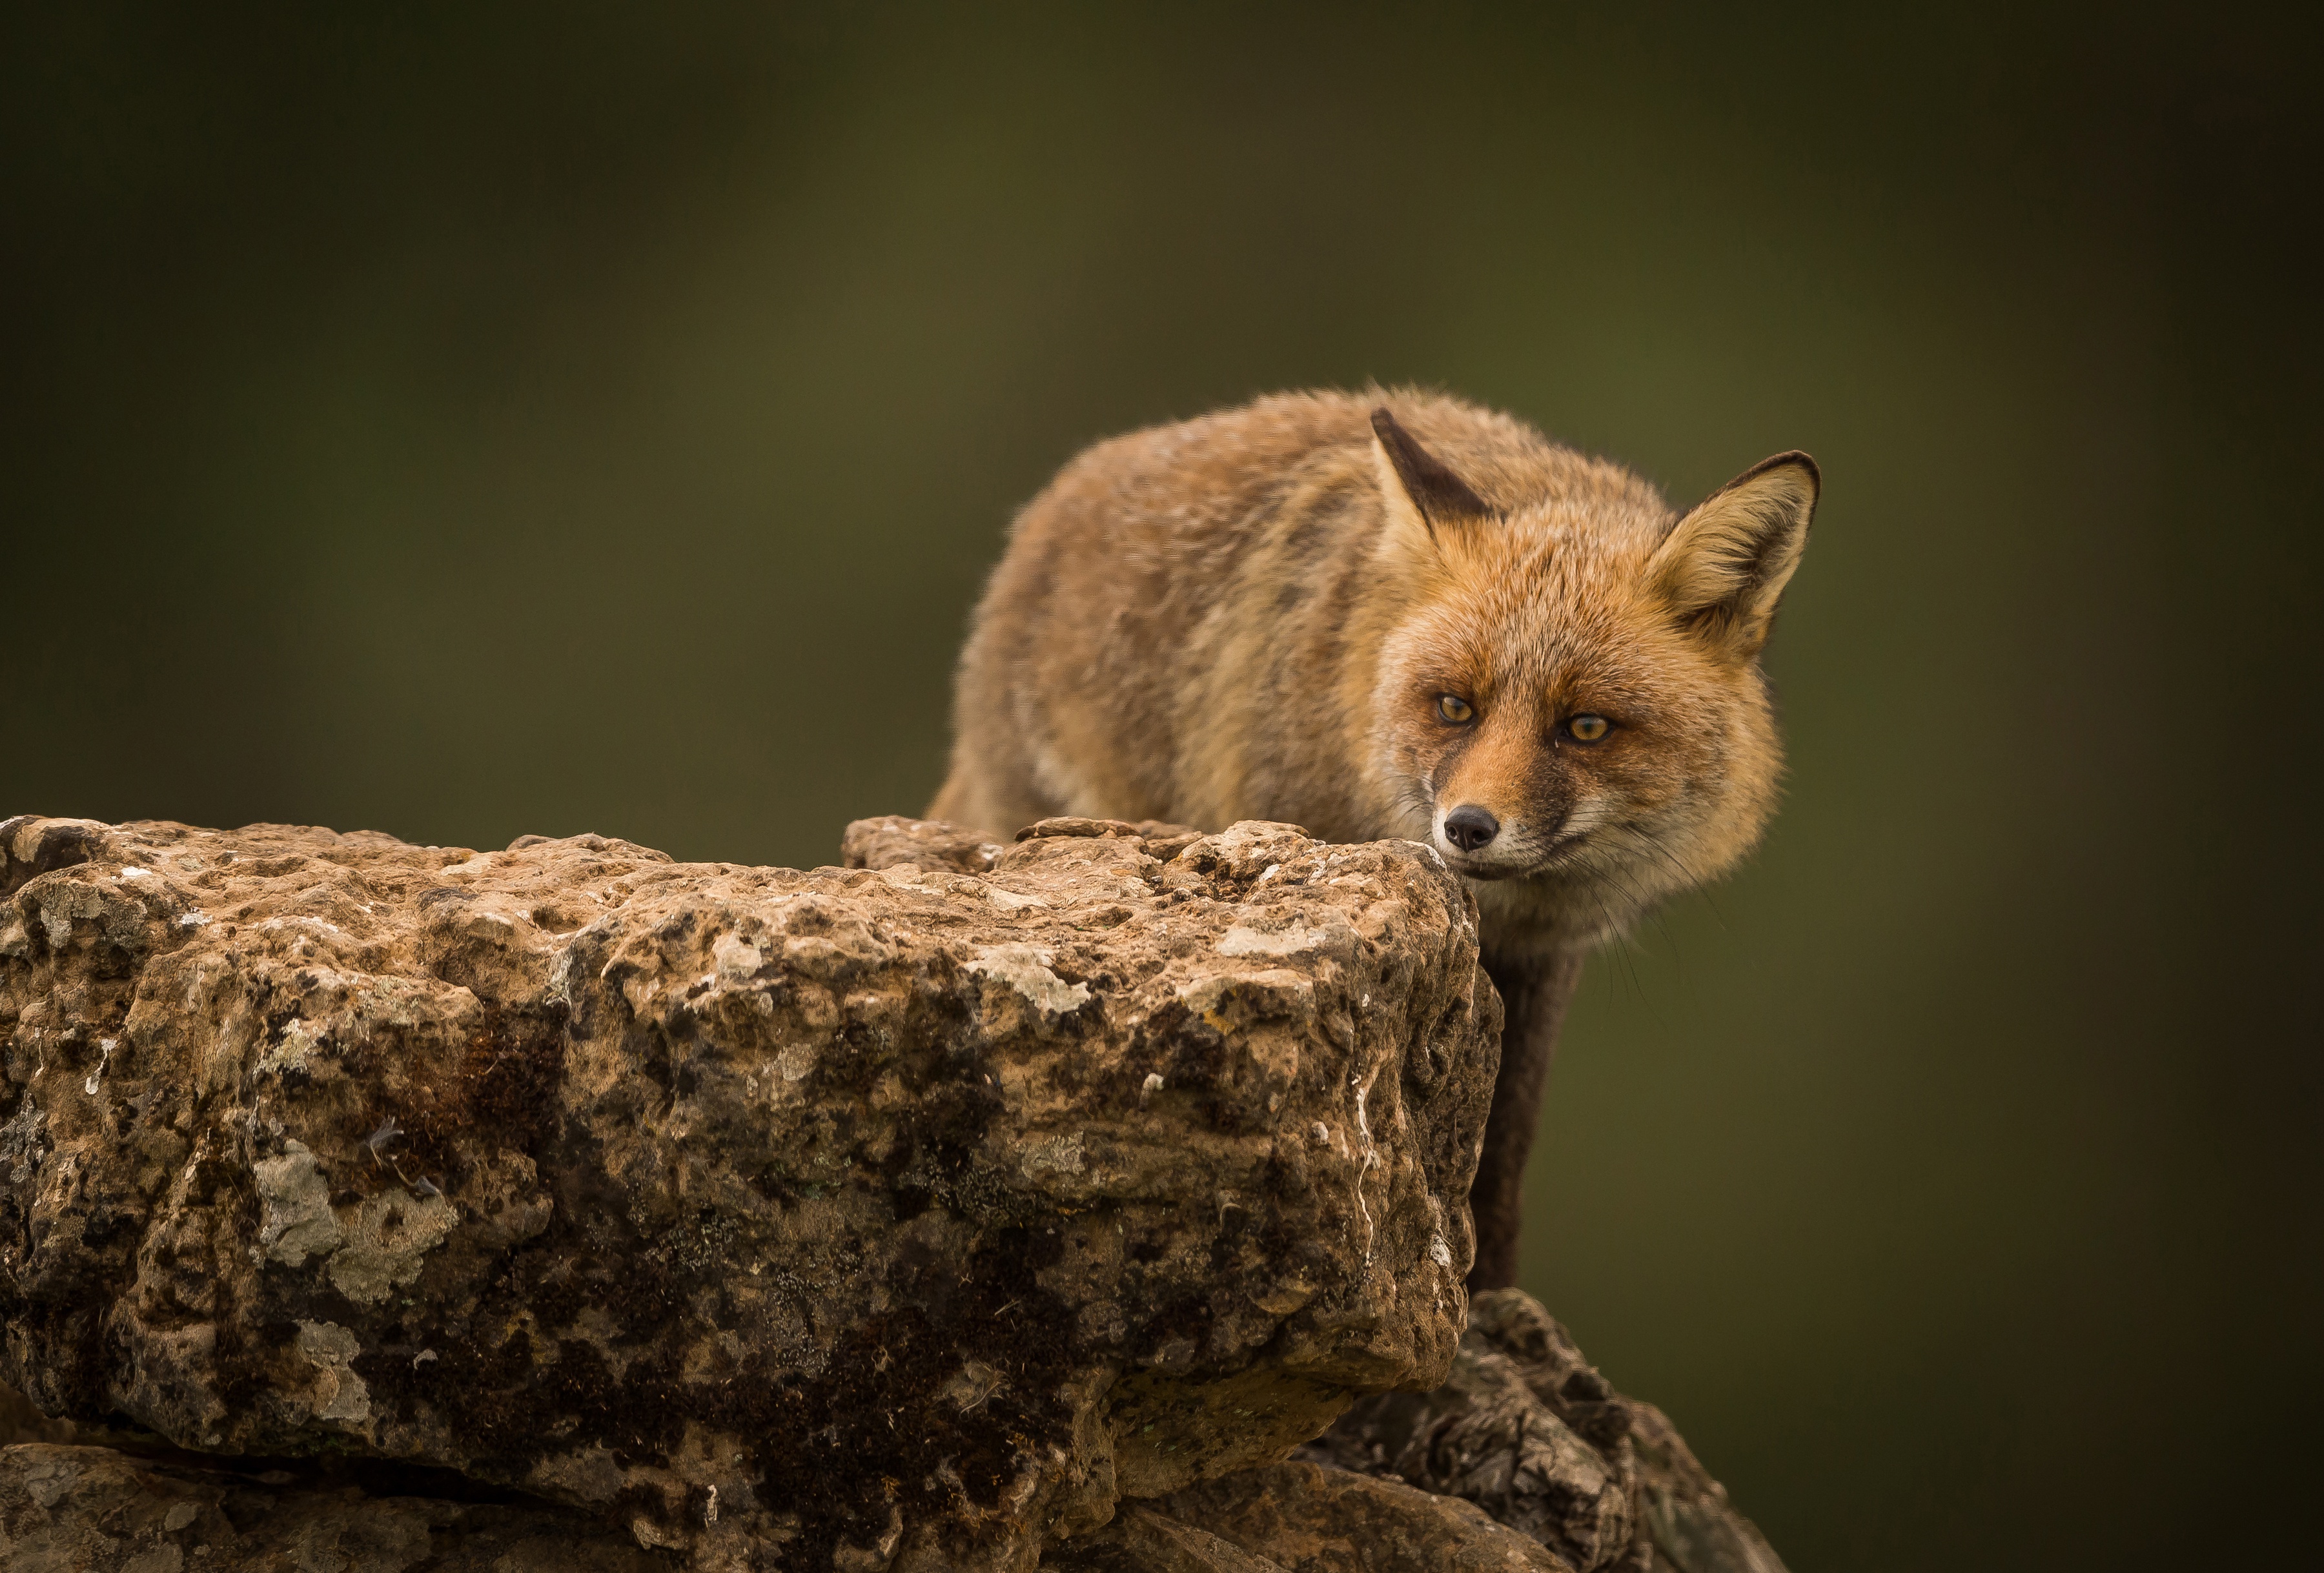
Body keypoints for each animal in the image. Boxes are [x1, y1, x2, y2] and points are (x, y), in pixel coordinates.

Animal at [930, 392, 1813, 1292]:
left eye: (1587, 726)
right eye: (1455, 707)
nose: (1468, 827)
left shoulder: (1542, 958)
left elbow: (1506, 1150)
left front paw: (1489, 1286)